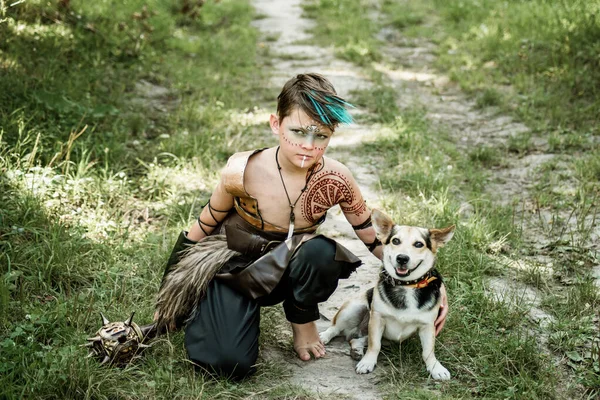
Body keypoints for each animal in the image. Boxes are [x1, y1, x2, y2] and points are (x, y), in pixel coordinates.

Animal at [318, 208, 454, 380]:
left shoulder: (427, 326)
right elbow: (374, 345)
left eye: (419, 244)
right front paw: (368, 362)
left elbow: (428, 352)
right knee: (335, 328)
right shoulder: (377, 320)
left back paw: (356, 351)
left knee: (356, 340)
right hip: (354, 309)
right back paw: (324, 337)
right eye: (395, 241)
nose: (402, 258)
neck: (406, 286)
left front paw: (435, 367)